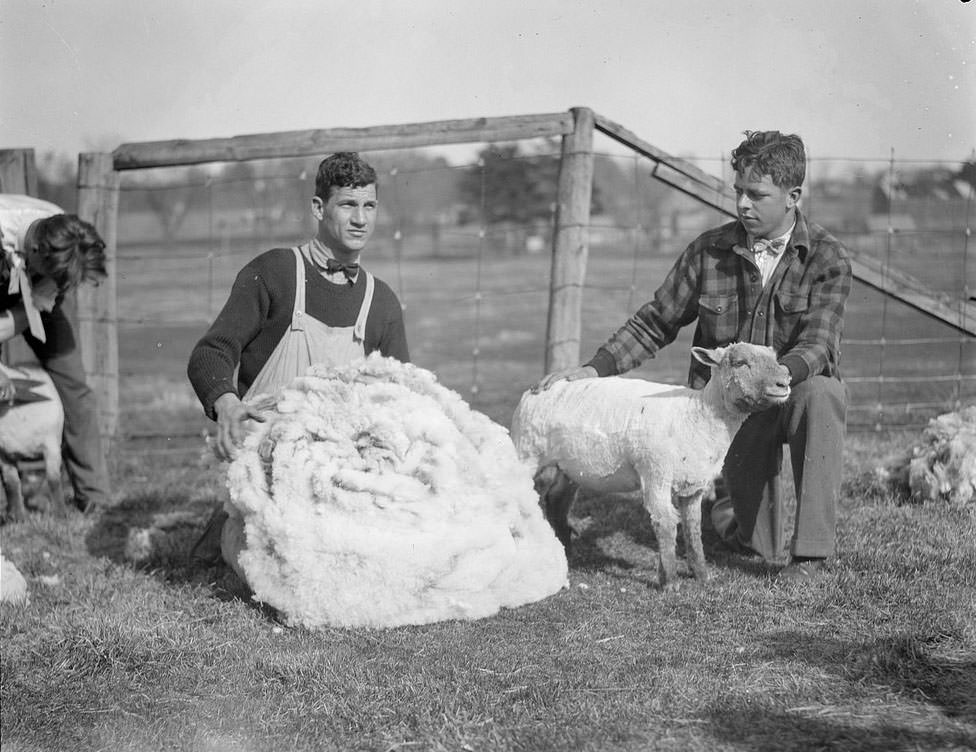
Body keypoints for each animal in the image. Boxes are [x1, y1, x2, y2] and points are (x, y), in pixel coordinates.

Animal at [0, 364, 66, 524]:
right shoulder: (3, 454)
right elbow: (12, 484)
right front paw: (19, 519)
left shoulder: (51, 447)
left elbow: (54, 480)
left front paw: (61, 516)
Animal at [510, 344, 792, 592]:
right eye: (740, 363)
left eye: (775, 356)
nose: (784, 383)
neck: (696, 416)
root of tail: (540, 388)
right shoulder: (655, 474)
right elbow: (665, 523)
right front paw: (670, 582)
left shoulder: (695, 484)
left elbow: (693, 528)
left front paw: (702, 575)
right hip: (526, 450)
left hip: (569, 466)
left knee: (556, 499)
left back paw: (565, 552)